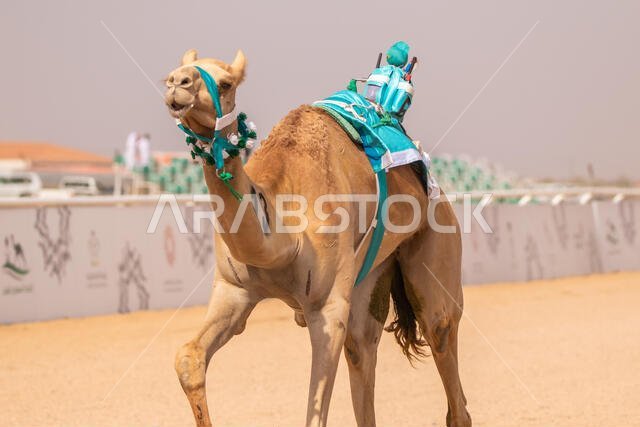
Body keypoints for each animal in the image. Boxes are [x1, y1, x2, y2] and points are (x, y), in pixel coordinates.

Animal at [164, 48, 471, 427]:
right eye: (178, 71)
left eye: (226, 83)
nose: (177, 83)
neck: (283, 237)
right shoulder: (234, 290)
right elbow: (188, 358)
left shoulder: (327, 308)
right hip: (371, 274)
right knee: (362, 347)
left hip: (438, 243)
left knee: (441, 334)